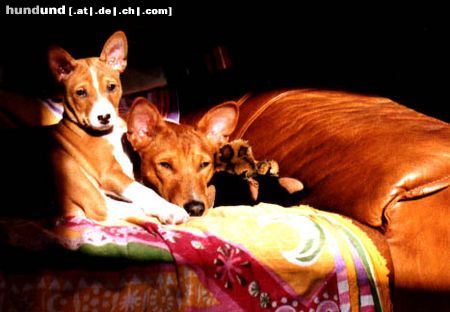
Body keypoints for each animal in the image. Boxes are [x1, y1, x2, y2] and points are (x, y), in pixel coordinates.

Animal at [0, 31, 188, 225]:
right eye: (81, 93)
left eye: (111, 87)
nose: (104, 117)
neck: (109, 135)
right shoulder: (109, 173)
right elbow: (143, 191)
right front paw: (169, 209)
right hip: (64, 162)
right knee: (102, 207)